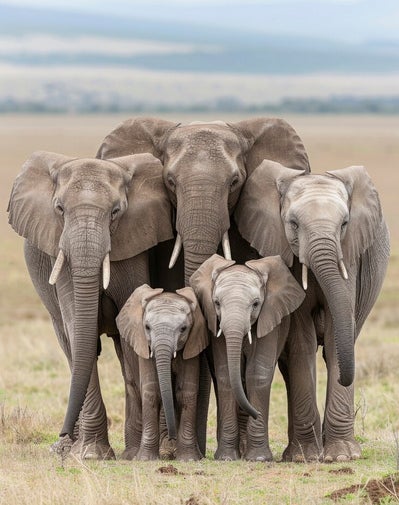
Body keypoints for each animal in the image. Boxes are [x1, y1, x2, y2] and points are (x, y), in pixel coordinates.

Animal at [7, 149, 173, 456]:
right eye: (60, 209)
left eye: (116, 211)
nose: (61, 431)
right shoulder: (59, 254)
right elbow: (77, 329)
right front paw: (92, 454)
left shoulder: (134, 247)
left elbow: (130, 334)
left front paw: (134, 454)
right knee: (70, 347)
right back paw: (68, 447)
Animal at [115, 284, 208, 460]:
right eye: (147, 327)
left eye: (183, 329)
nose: (172, 437)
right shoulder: (144, 345)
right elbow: (152, 390)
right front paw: (145, 459)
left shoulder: (193, 345)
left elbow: (186, 392)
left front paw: (188, 459)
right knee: (133, 388)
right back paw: (132, 455)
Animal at [191, 254, 306, 458]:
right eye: (217, 303)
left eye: (256, 304)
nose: (257, 414)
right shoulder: (216, 325)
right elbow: (225, 375)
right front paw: (226, 458)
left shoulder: (269, 319)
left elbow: (257, 373)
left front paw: (258, 458)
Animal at [234, 160, 390, 460]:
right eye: (293, 224)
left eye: (344, 224)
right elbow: (302, 340)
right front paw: (305, 456)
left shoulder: (349, 258)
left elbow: (335, 337)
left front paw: (341, 455)